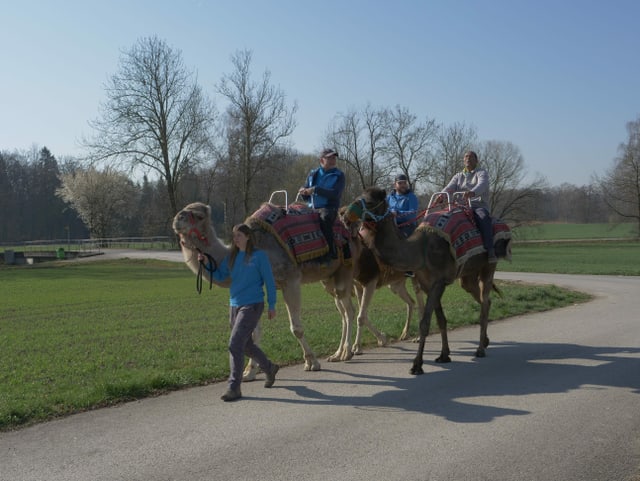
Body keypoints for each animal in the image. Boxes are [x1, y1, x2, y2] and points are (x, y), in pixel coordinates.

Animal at [172, 201, 358, 374]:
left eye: (199, 216)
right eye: (183, 211)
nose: (177, 219)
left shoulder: (290, 279)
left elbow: (296, 328)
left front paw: (311, 362)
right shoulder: (258, 285)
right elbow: (254, 332)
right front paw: (249, 371)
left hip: (345, 268)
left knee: (349, 311)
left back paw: (347, 352)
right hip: (329, 278)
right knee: (343, 311)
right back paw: (338, 353)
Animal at [342, 187, 512, 376]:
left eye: (370, 201)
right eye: (359, 196)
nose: (345, 214)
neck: (419, 251)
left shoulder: (438, 282)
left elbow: (425, 323)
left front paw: (417, 365)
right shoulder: (427, 284)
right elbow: (441, 320)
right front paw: (444, 355)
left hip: (488, 266)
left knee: (484, 300)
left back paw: (480, 349)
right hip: (468, 275)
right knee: (485, 300)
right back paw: (485, 341)